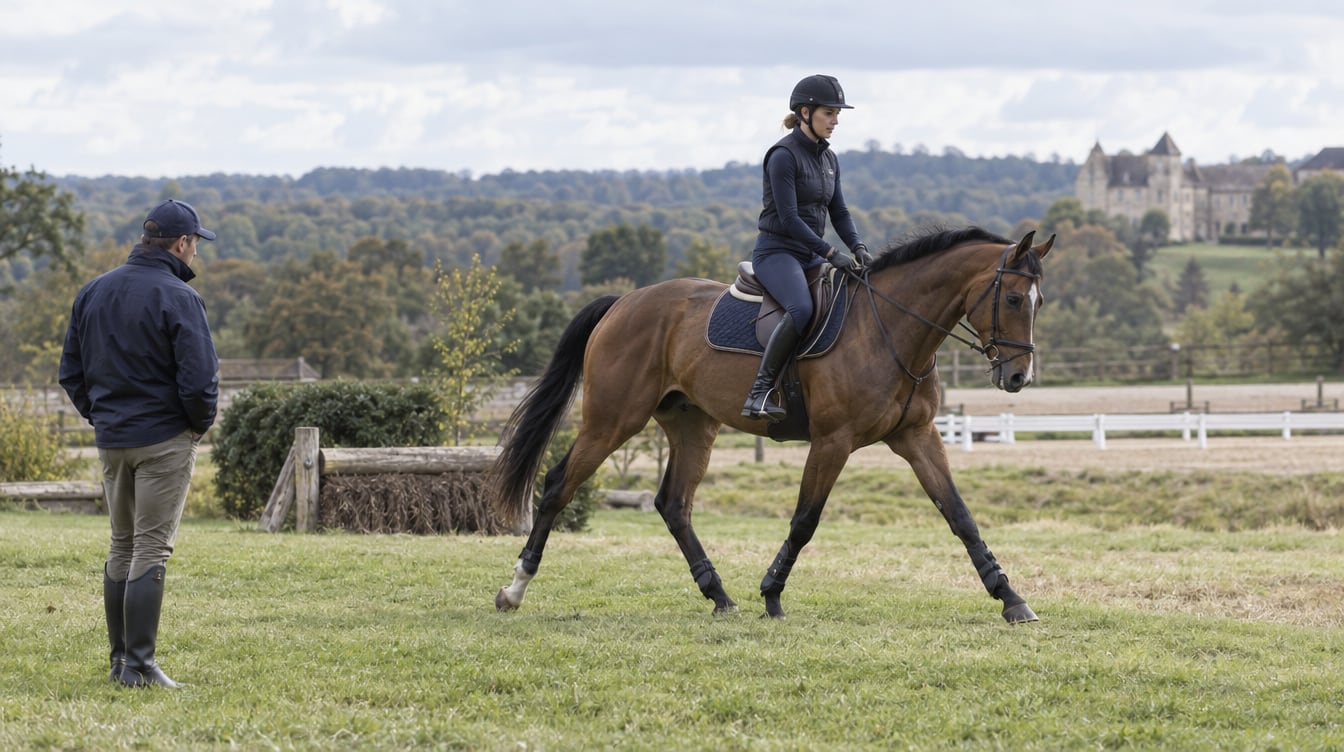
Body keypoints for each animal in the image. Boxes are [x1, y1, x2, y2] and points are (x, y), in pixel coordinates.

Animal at [490, 226, 1054, 623]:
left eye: (1039, 302)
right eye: (1010, 299)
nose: (1018, 377)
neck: (891, 328)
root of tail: (623, 302)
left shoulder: (916, 436)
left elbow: (959, 515)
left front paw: (1010, 597)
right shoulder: (832, 442)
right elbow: (805, 520)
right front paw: (772, 593)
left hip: (692, 426)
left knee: (673, 504)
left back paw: (718, 595)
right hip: (612, 420)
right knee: (559, 485)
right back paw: (514, 588)